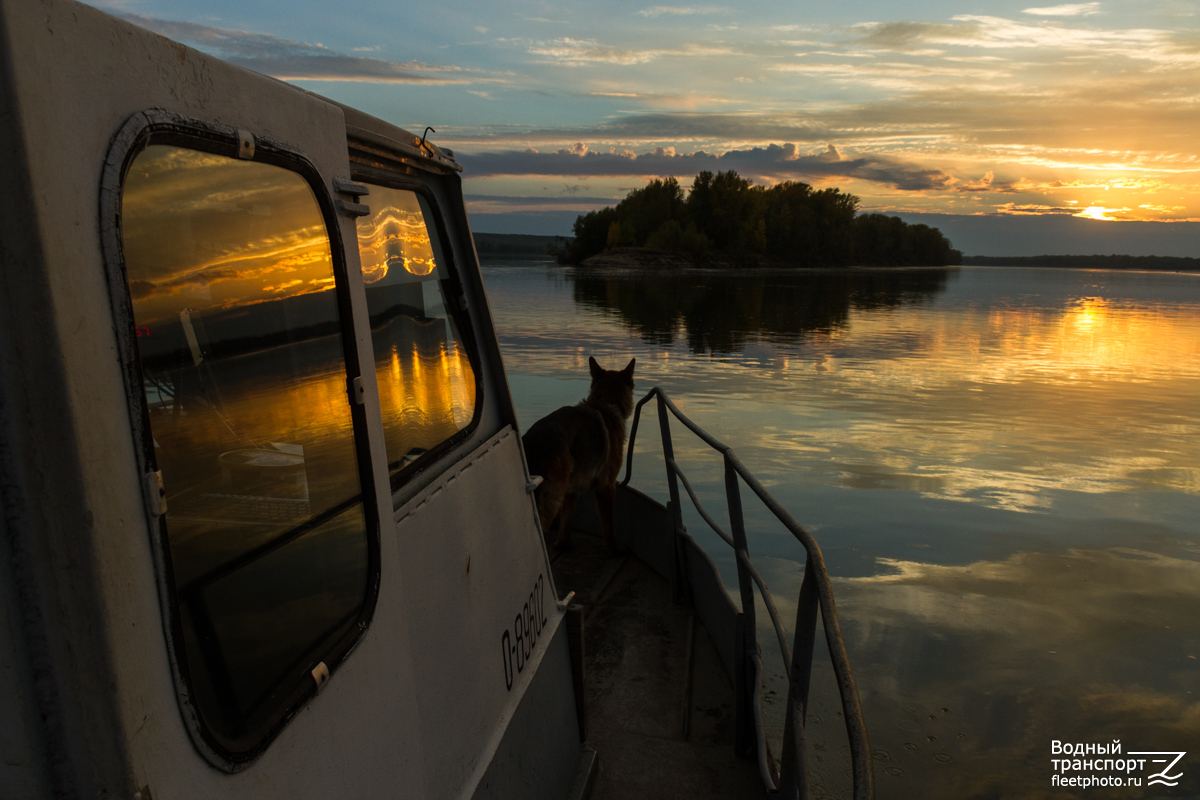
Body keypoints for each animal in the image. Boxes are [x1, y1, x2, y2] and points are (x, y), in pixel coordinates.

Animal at [525, 357, 638, 554]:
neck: (606, 402)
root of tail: (534, 440)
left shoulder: (572, 491)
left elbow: (565, 523)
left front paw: (562, 544)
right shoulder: (607, 487)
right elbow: (608, 526)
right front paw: (615, 548)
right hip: (551, 501)